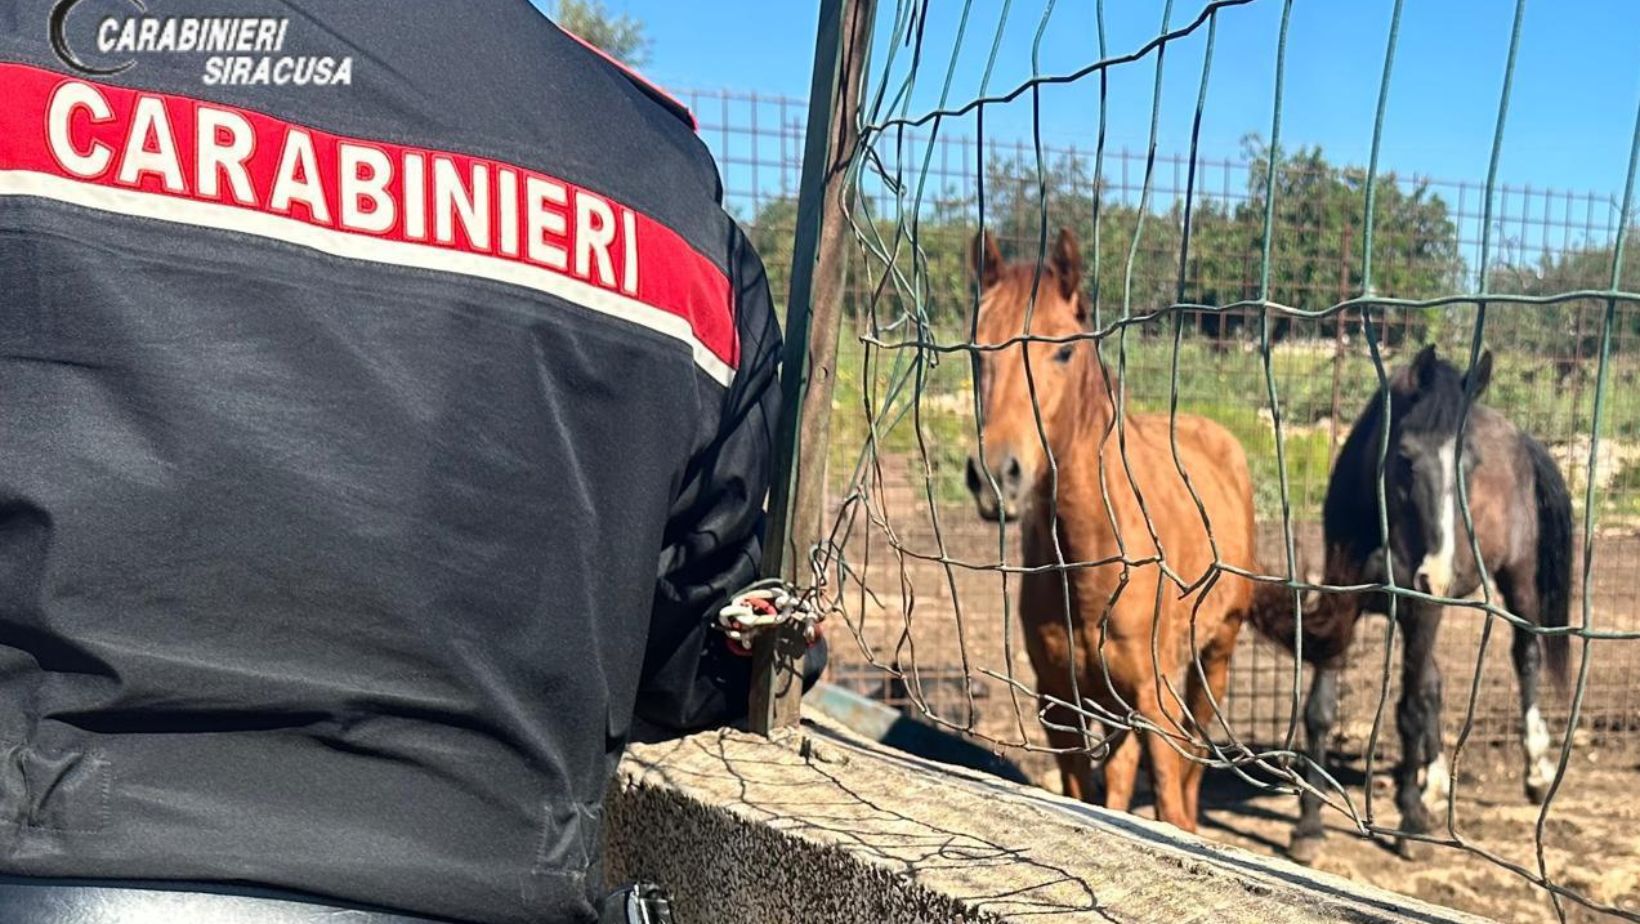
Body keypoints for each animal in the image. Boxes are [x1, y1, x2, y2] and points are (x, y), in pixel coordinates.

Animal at [961, 227, 1270, 832]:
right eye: (977, 348)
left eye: (1063, 349)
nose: (995, 476)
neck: (1095, 560)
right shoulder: (1059, 703)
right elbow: (1086, 796)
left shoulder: (1154, 702)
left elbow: (1170, 795)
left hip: (1215, 656)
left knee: (1194, 758)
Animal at [1250, 344, 1572, 862]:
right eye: (1404, 456)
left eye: (1470, 463)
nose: (1436, 573)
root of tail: (1522, 438)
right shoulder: (1344, 608)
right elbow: (1322, 711)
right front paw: (1309, 825)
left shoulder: (1422, 611)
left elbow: (1407, 710)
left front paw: (1410, 822)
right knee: (1435, 685)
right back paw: (1436, 781)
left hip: (1517, 580)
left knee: (1525, 655)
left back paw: (1536, 771)